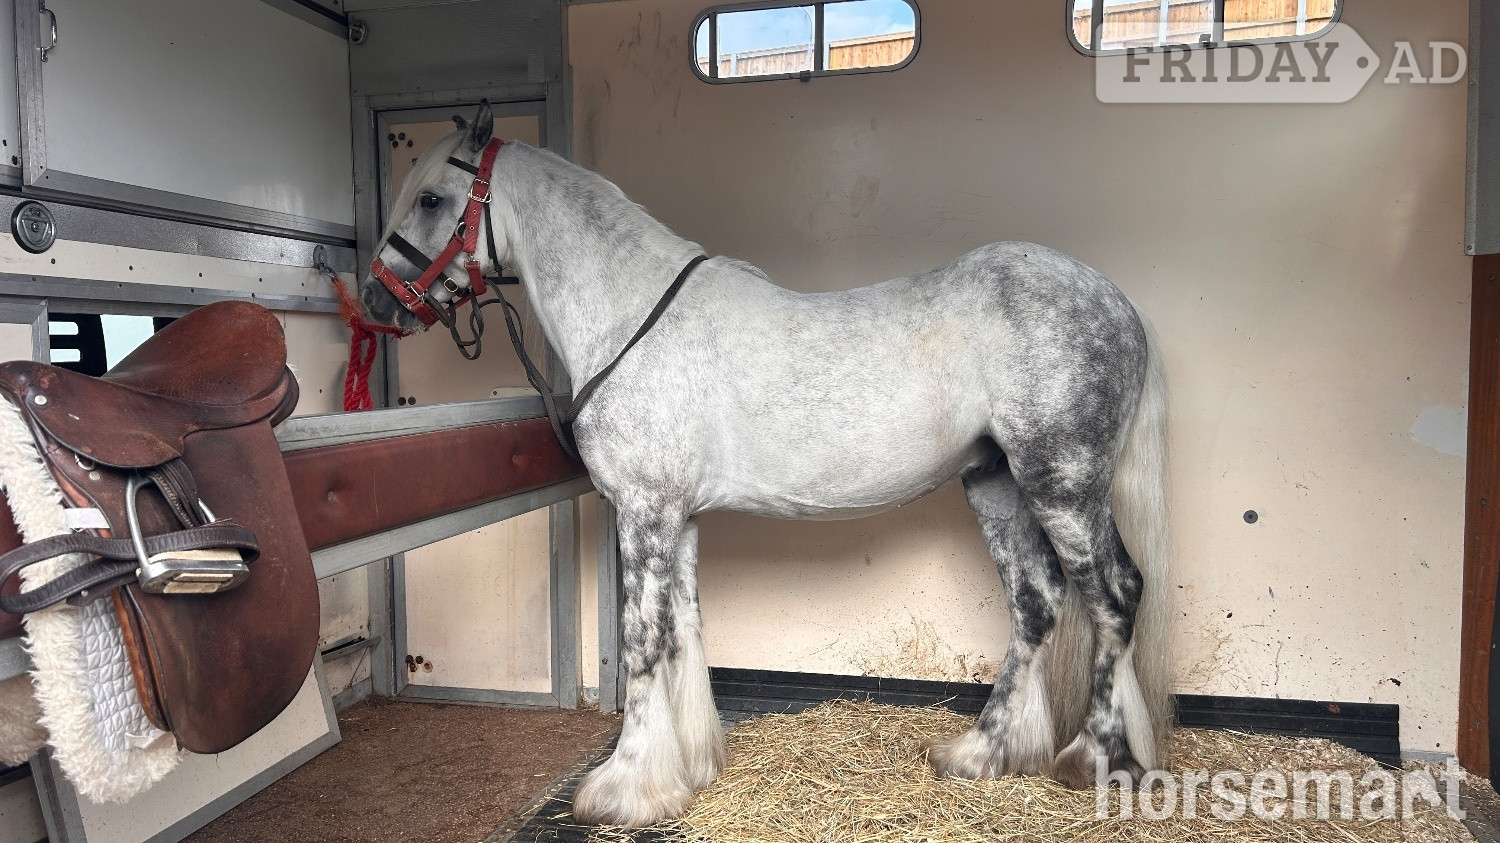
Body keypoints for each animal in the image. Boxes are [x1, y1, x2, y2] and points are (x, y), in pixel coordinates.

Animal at [358, 102, 1172, 828]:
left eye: (430, 197)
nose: (374, 300)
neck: (632, 320)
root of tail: (1115, 302)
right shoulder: (677, 518)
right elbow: (682, 630)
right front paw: (690, 768)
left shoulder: (644, 513)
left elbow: (643, 640)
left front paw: (624, 789)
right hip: (996, 481)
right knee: (1037, 600)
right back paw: (981, 754)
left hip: (1062, 484)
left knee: (1113, 595)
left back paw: (1094, 759)